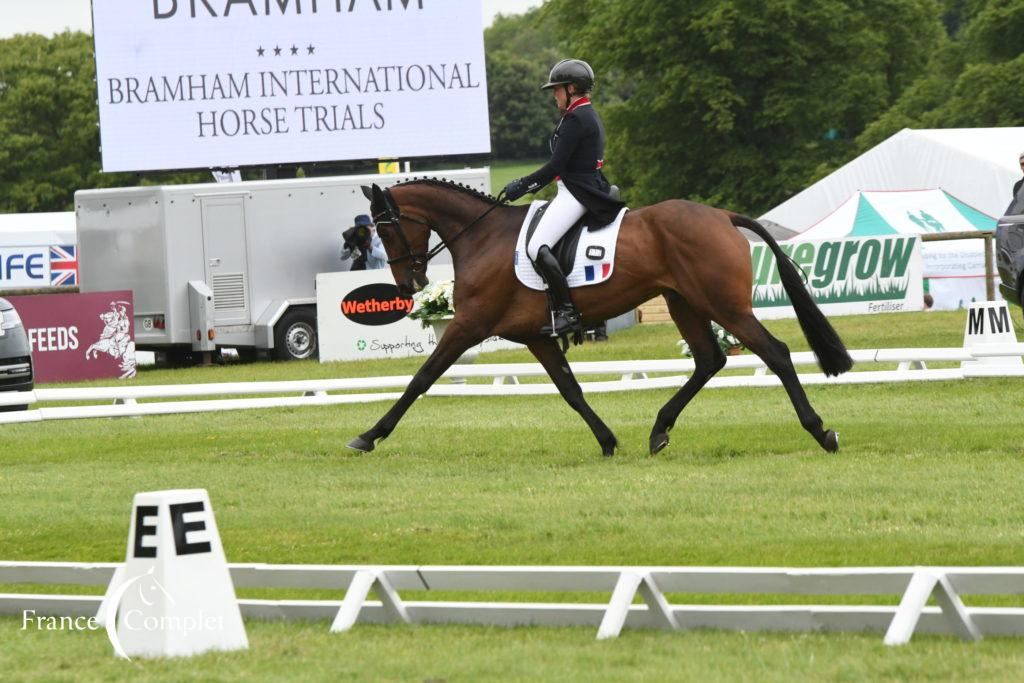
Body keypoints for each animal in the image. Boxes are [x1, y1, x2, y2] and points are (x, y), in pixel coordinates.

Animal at [348, 180, 851, 458]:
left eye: (386, 229)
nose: (409, 284)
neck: (482, 236)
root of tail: (723, 216)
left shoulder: (469, 325)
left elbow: (422, 378)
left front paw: (369, 436)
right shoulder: (536, 336)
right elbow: (570, 390)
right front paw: (607, 441)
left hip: (722, 305)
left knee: (775, 353)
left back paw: (820, 431)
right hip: (683, 302)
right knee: (710, 360)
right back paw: (658, 431)